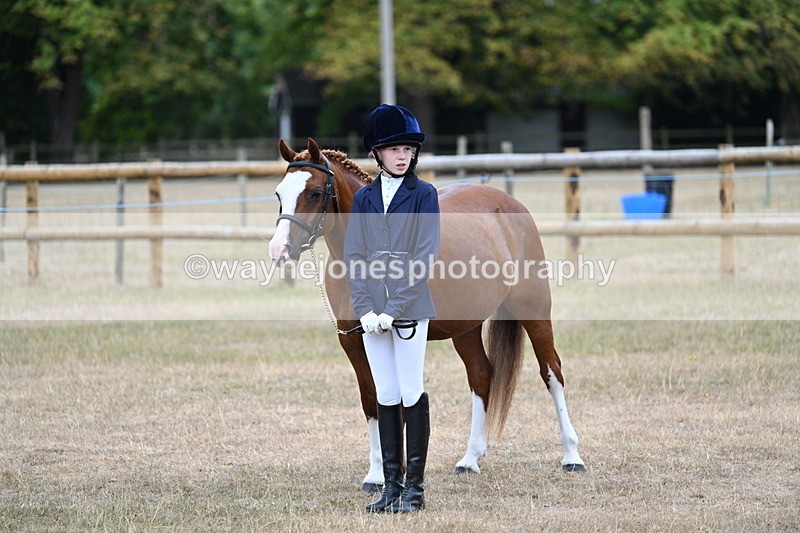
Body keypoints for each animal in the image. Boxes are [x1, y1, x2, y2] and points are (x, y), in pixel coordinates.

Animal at [268, 138, 585, 492]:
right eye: (279, 193)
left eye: (314, 193)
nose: (279, 249)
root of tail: (510, 205)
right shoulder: (352, 341)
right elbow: (372, 399)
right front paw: (377, 475)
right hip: (466, 327)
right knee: (481, 376)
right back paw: (470, 459)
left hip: (534, 310)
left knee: (552, 372)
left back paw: (572, 456)